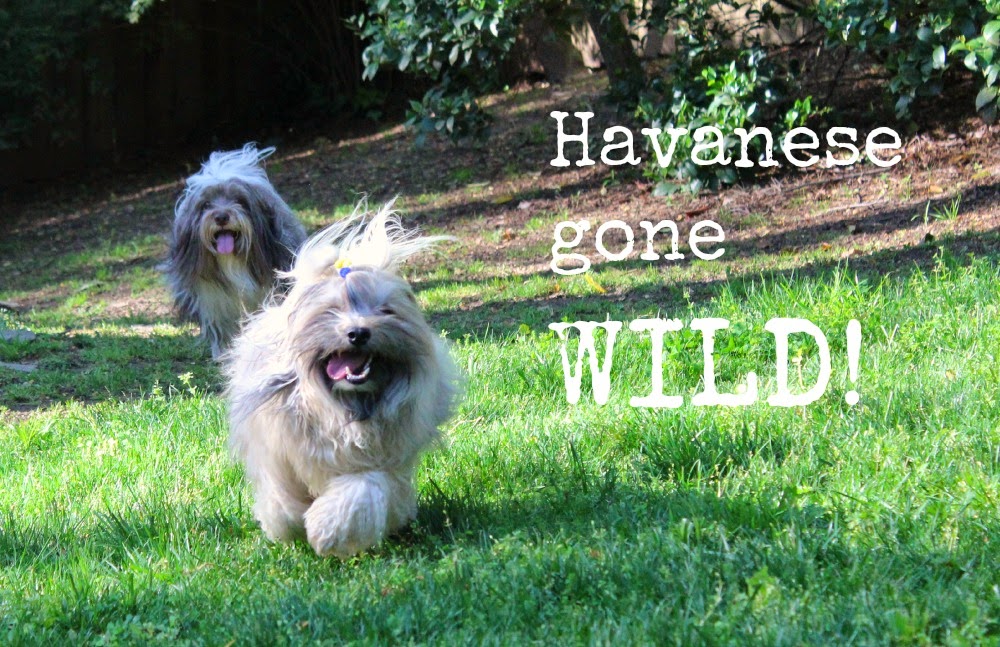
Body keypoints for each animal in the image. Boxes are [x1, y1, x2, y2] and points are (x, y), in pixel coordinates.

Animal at [225, 203, 459, 558]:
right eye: (331, 310)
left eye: (385, 310)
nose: (358, 333)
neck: (344, 404)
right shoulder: (278, 449)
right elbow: (282, 495)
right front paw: (288, 523)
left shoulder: (382, 459)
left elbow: (363, 490)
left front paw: (328, 531)